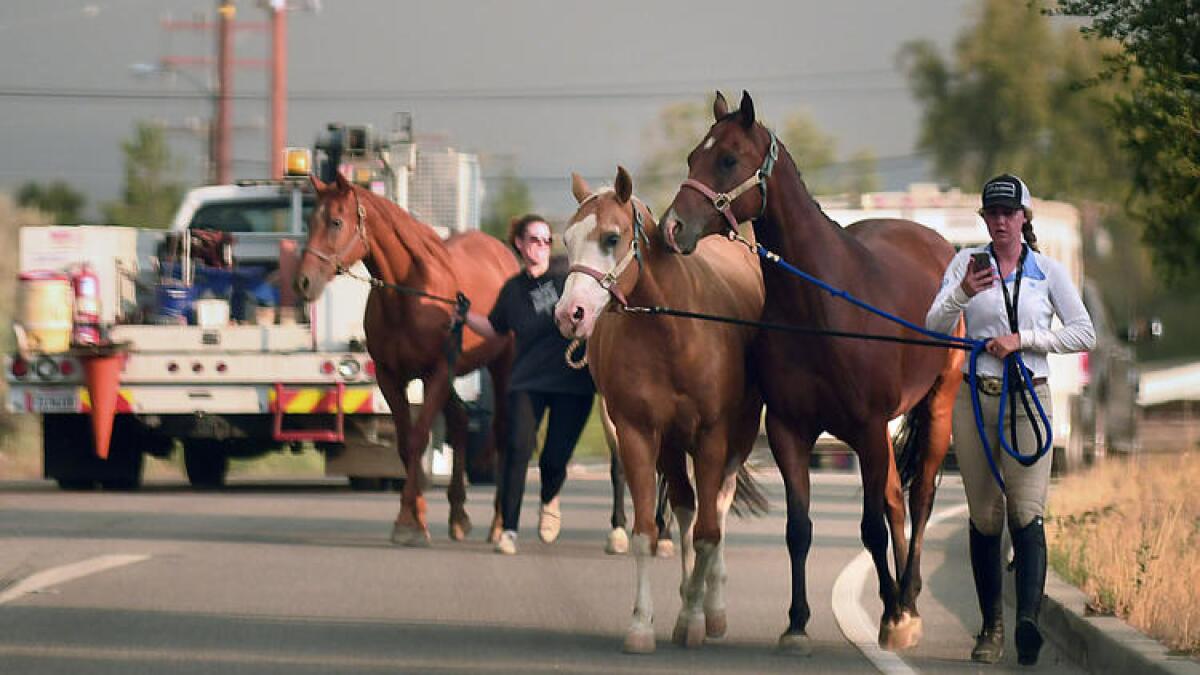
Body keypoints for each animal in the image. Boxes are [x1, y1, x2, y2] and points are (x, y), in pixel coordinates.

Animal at [295, 170, 516, 542]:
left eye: (336, 222)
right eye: (310, 221)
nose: (304, 281)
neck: (410, 294)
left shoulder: (434, 373)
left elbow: (417, 439)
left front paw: (408, 522)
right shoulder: (390, 376)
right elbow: (404, 443)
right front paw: (415, 516)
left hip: (500, 367)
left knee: (500, 431)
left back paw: (499, 524)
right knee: (459, 422)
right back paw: (458, 514)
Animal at [556, 165, 763, 648]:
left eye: (612, 237)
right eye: (566, 241)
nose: (569, 314)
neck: (674, 330)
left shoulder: (712, 435)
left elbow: (709, 533)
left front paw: (700, 614)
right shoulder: (638, 432)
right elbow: (646, 532)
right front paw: (643, 623)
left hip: (735, 438)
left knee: (715, 508)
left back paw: (712, 606)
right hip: (669, 443)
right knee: (686, 507)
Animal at [662, 89, 960, 653]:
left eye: (727, 159)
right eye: (690, 157)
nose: (673, 227)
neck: (818, 303)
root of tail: (939, 244)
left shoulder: (866, 427)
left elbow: (870, 527)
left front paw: (891, 614)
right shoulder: (789, 430)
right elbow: (799, 528)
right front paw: (797, 623)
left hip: (938, 405)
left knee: (920, 497)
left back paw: (906, 602)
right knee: (896, 500)